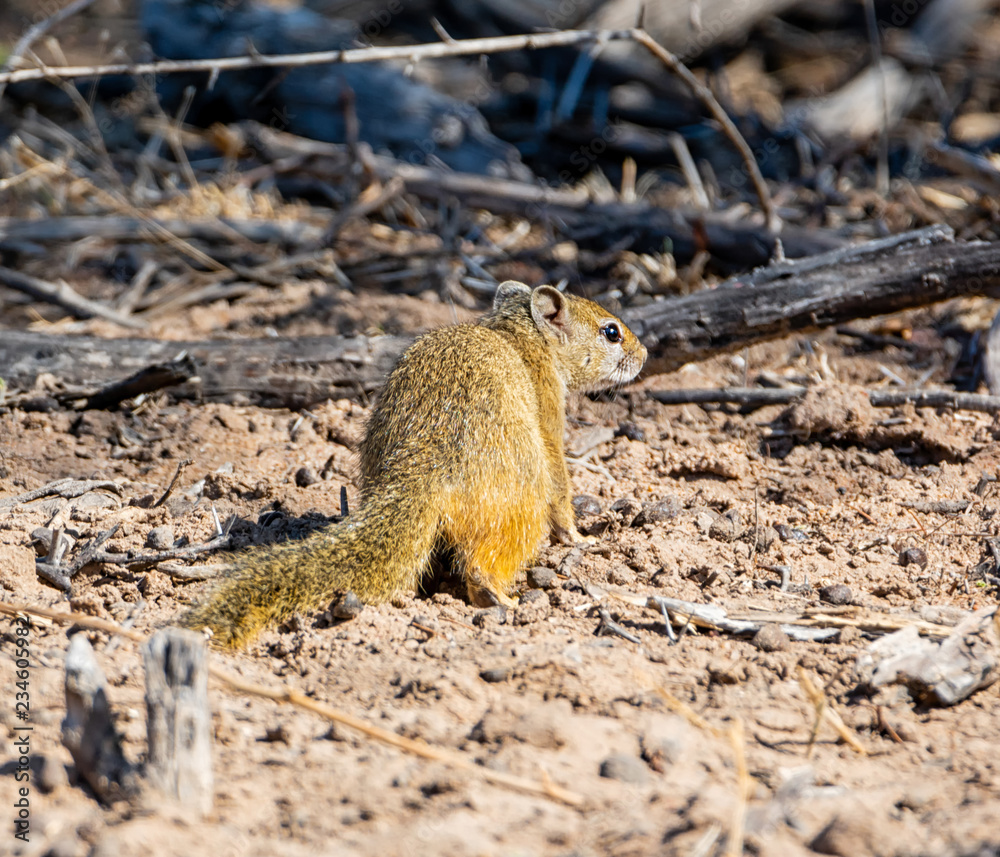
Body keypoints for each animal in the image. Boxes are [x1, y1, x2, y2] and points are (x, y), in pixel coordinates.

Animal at [180, 281, 647, 647]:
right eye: (611, 331)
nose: (644, 354)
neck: (517, 334)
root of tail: (420, 470)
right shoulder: (549, 416)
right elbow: (561, 487)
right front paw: (578, 537)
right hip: (522, 502)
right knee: (485, 562)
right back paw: (500, 599)